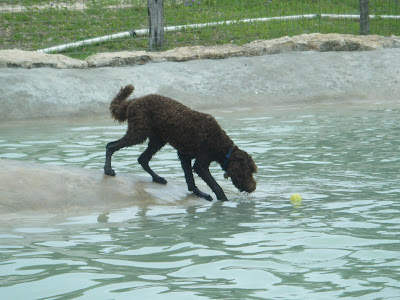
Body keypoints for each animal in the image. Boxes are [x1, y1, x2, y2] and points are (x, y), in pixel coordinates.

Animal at [103, 84, 258, 202]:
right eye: (248, 172)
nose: (253, 188)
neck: (220, 144)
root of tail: (133, 101)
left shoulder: (184, 155)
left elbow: (190, 181)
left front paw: (199, 193)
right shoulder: (201, 164)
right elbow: (215, 185)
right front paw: (223, 199)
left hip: (157, 140)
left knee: (143, 159)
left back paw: (157, 178)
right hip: (138, 133)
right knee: (110, 146)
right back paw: (108, 170)